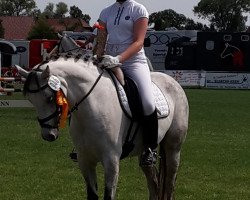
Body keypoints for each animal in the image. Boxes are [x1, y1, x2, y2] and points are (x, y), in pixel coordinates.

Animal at [16, 36, 188, 200]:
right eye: (31, 101)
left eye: (50, 98)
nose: (48, 135)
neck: (92, 107)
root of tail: (172, 80)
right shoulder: (85, 160)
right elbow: (92, 195)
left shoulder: (111, 161)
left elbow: (108, 195)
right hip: (146, 154)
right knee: (153, 182)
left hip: (173, 148)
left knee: (169, 183)